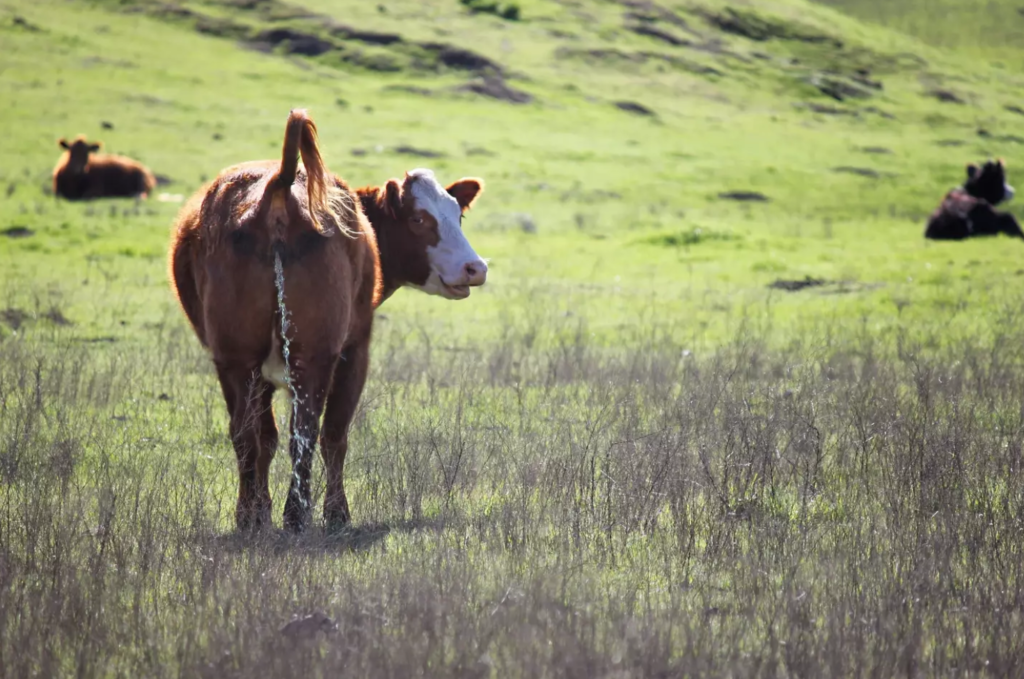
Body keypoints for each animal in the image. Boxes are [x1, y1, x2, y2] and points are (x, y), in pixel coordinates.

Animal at [168, 110, 487, 536]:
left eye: (458, 215)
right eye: (420, 219)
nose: (475, 268)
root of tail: (279, 185)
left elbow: (265, 439)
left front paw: (262, 509)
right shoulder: (355, 350)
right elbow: (334, 434)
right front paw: (336, 513)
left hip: (235, 356)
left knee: (247, 435)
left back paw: (250, 516)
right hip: (313, 354)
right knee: (305, 433)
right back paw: (297, 514)